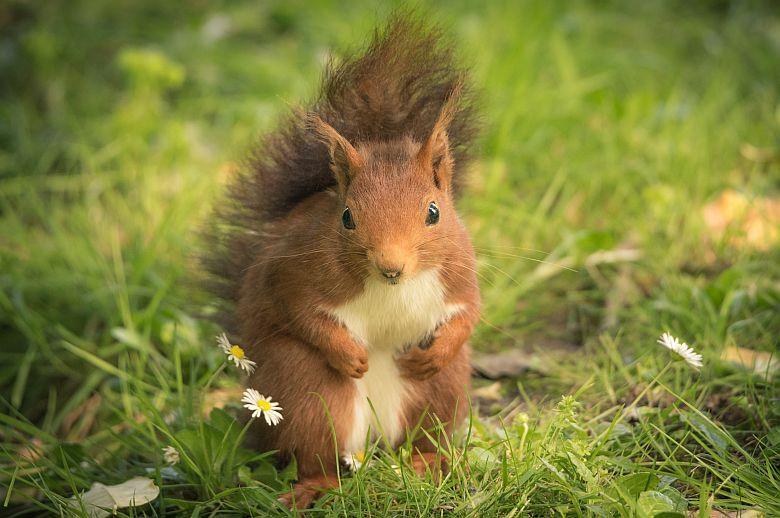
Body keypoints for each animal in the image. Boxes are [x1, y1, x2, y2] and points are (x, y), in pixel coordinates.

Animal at [204, 13, 480, 508]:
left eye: (434, 212)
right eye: (347, 217)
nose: (391, 266)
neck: (391, 287)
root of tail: (375, 445)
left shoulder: (460, 273)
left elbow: (469, 313)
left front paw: (439, 348)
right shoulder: (293, 272)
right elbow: (302, 313)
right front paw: (348, 354)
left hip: (439, 394)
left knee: (425, 435)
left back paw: (429, 463)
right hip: (307, 393)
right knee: (317, 451)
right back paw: (314, 487)